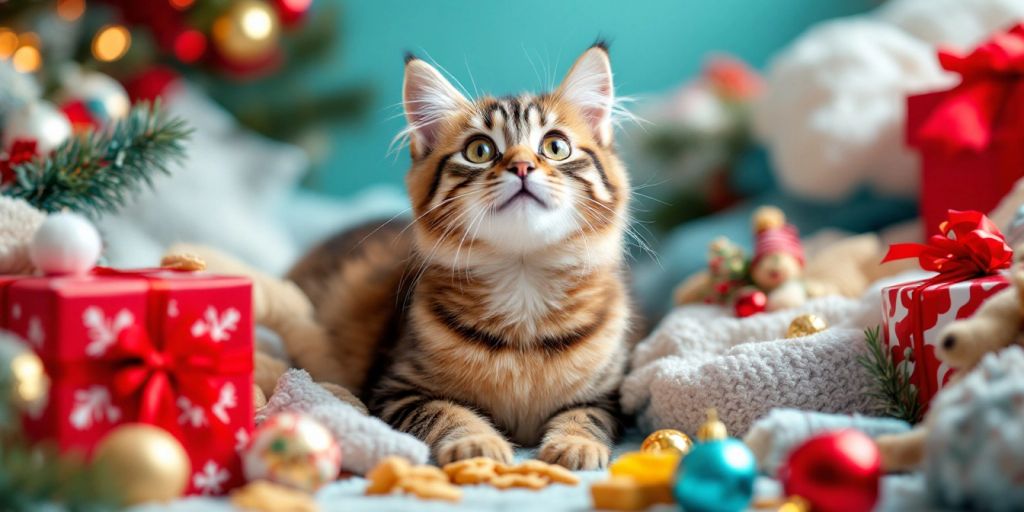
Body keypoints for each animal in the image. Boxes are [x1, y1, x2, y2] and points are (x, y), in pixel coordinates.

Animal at [288, 41, 634, 468]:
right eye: (480, 151)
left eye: (555, 147)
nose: (522, 165)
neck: (523, 283)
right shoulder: (396, 387)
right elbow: (446, 411)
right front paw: (477, 443)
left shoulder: (610, 392)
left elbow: (585, 414)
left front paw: (576, 444)